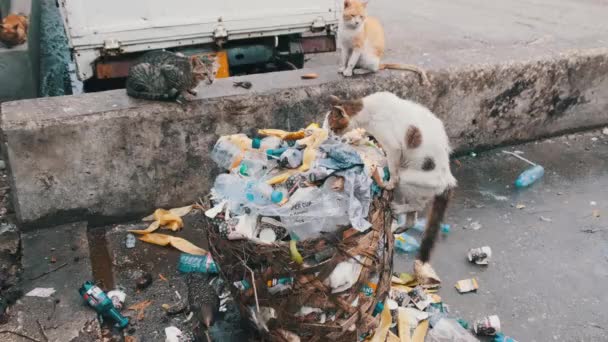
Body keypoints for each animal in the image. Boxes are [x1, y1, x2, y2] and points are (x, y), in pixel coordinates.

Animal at [328, 91, 456, 262]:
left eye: (332, 127)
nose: (329, 135)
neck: (367, 110)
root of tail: (448, 179)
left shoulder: (394, 147)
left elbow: (393, 168)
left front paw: (388, 182)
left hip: (408, 179)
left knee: (418, 205)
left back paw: (397, 207)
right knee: (414, 217)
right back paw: (402, 226)